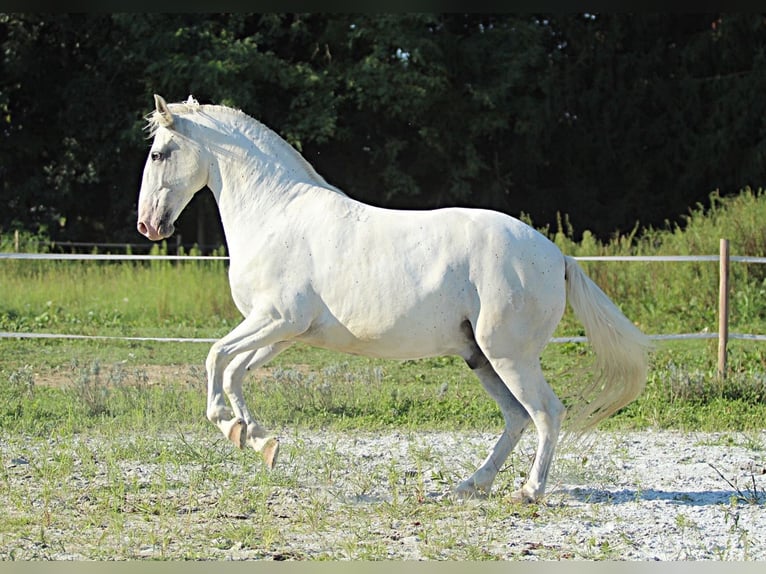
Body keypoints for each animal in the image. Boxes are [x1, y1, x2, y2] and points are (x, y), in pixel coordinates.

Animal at [138, 94, 656, 504]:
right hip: (481, 357)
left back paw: (528, 491)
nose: (148, 225)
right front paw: (257, 440)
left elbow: (215, 358)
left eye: (160, 154)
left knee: (546, 413)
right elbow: (235, 371)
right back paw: (471, 485)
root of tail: (557, 256)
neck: (275, 213)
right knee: (516, 418)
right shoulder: (283, 332)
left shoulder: (275, 319)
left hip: (510, 355)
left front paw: (232, 427)